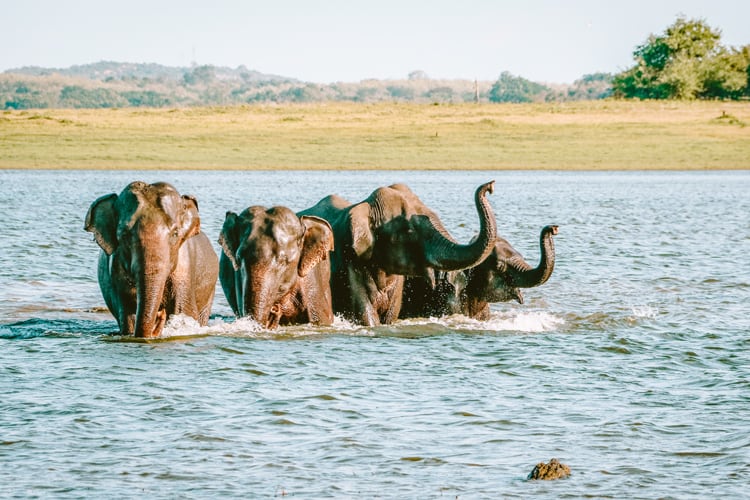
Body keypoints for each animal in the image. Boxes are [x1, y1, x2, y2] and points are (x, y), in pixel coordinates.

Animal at [86, 182, 220, 338]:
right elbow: (128, 314)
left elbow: (185, 311)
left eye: (175, 233)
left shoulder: (185, 270)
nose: (160, 313)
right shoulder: (116, 272)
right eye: (124, 235)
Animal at [300, 182, 500, 326]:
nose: (490, 186)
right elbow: (365, 314)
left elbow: (391, 316)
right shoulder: (350, 262)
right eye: (410, 231)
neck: (367, 206)